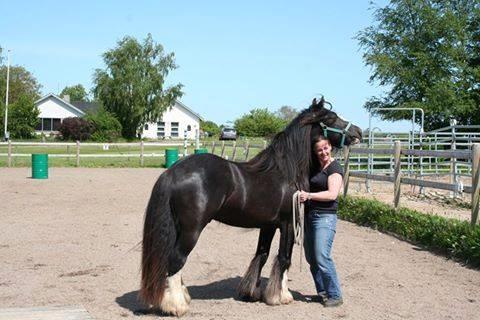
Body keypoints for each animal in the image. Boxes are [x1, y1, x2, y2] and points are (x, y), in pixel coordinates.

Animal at [141, 97, 362, 316]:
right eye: (331, 118)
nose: (358, 132)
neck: (285, 172)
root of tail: (173, 171)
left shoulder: (268, 225)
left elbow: (261, 255)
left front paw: (251, 292)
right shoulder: (288, 224)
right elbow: (284, 258)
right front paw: (280, 296)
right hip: (191, 230)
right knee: (176, 260)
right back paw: (177, 305)